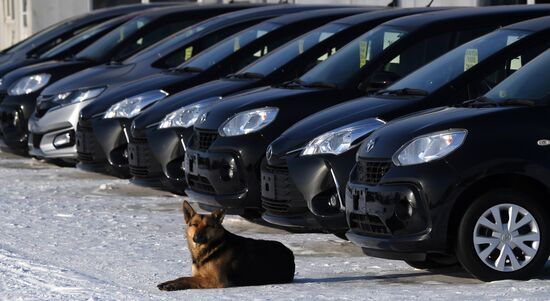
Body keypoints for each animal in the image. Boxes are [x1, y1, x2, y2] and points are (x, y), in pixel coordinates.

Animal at [158, 200, 298, 290]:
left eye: (208, 226)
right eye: (194, 225)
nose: (197, 238)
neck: (209, 248)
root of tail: (289, 252)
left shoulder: (216, 280)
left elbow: (189, 280)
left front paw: (172, 285)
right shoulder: (199, 275)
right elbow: (183, 278)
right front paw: (169, 282)